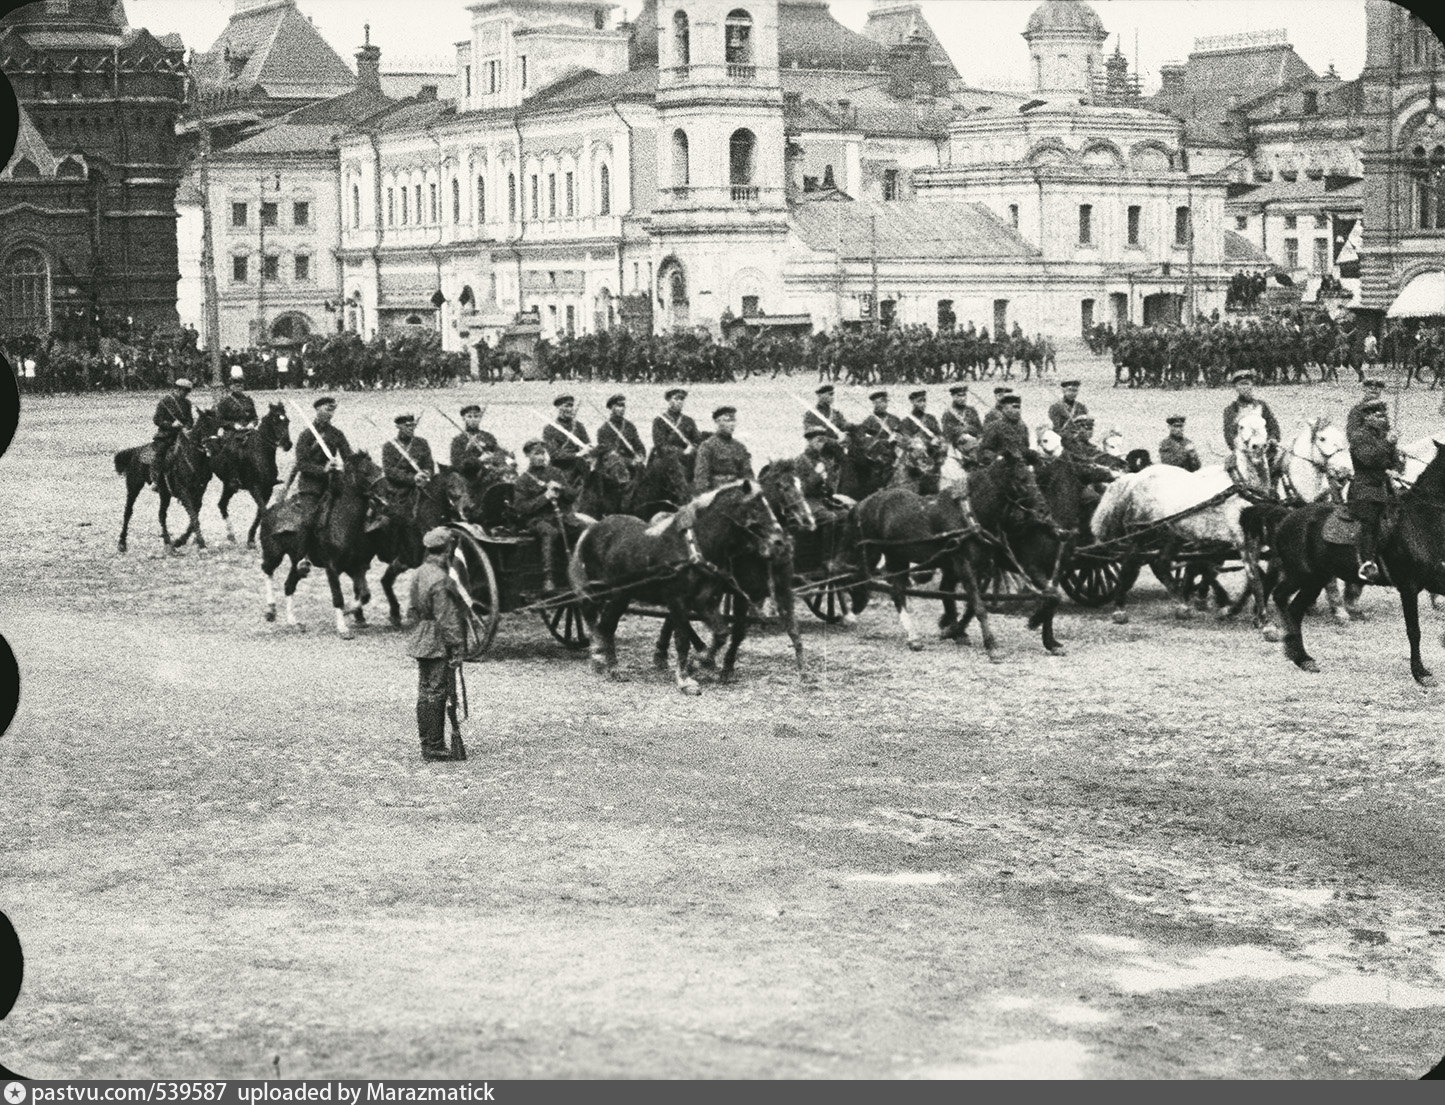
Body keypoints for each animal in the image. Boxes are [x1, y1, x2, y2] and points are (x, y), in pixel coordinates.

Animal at [210, 404, 293, 546]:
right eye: (275, 420)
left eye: (287, 421)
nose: (287, 444)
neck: (261, 454)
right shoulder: (254, 488)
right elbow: (264, 511)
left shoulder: (268, 489)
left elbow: (260, 513)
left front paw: (251, 539)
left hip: (229, 486)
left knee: (222, 504)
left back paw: (231, 536)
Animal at [257, 447, 387, 638]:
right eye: (365, 472)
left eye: (378, 468)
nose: (387, 494)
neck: (345, 524)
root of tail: (271, 510)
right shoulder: (331, 567)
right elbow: (338, 597)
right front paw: (343, 628)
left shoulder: (357, 566)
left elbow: (364, 594)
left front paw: (351, 612)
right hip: (274, 553)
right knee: (267, 570)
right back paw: (270, 610)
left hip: (295, 561)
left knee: (289, 585)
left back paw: (293, 622)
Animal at [563, 479, 791, 693]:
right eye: (755, 507)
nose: (779, 540)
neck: (692, 548)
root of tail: (592, 528)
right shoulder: (677, 600)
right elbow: (682, 639)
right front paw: (685, 679)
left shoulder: (705, 601)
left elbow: (721, 634)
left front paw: (702, 660)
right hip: (611, 593)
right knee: (601, 623)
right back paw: (608, 665)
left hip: (621, 594)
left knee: (601, 624)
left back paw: (602, 661)